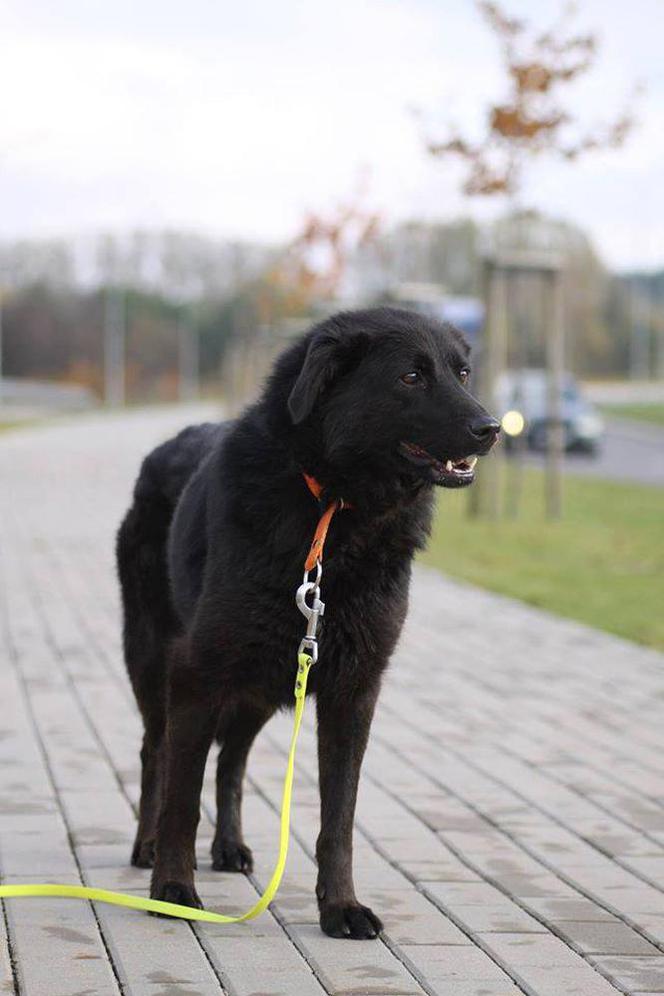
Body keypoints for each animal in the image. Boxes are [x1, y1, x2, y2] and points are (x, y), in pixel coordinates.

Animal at [116, 308, 498, 936]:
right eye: (411, 376)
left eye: (462, 373)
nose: (491, 427)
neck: (334, 511)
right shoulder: (198, 673)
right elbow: (182, 798)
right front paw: (174, 889)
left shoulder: (352, 691)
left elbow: (337, 819)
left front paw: (340, 906)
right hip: (157, 662)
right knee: (157, 751)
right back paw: (148, 847)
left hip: (261, 686)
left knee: (233, 761)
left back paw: (229, 846)